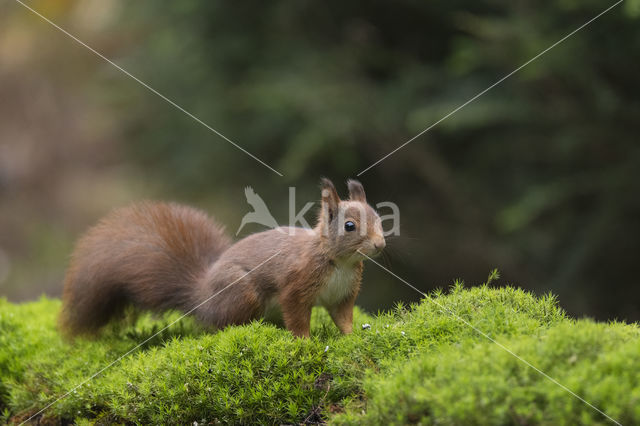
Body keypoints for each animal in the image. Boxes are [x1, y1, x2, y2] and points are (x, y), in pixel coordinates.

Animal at [61, 178, 384, 338]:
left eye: (379, 219)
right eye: (349, 226)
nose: (380, 244)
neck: (339, 263)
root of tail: (202, 296)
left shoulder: (342, 295)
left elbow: (343, 318)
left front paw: (353, 337)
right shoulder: (296, 284)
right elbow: (297, 316)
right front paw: (305, 342)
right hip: (242, 292)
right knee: (224, 325)